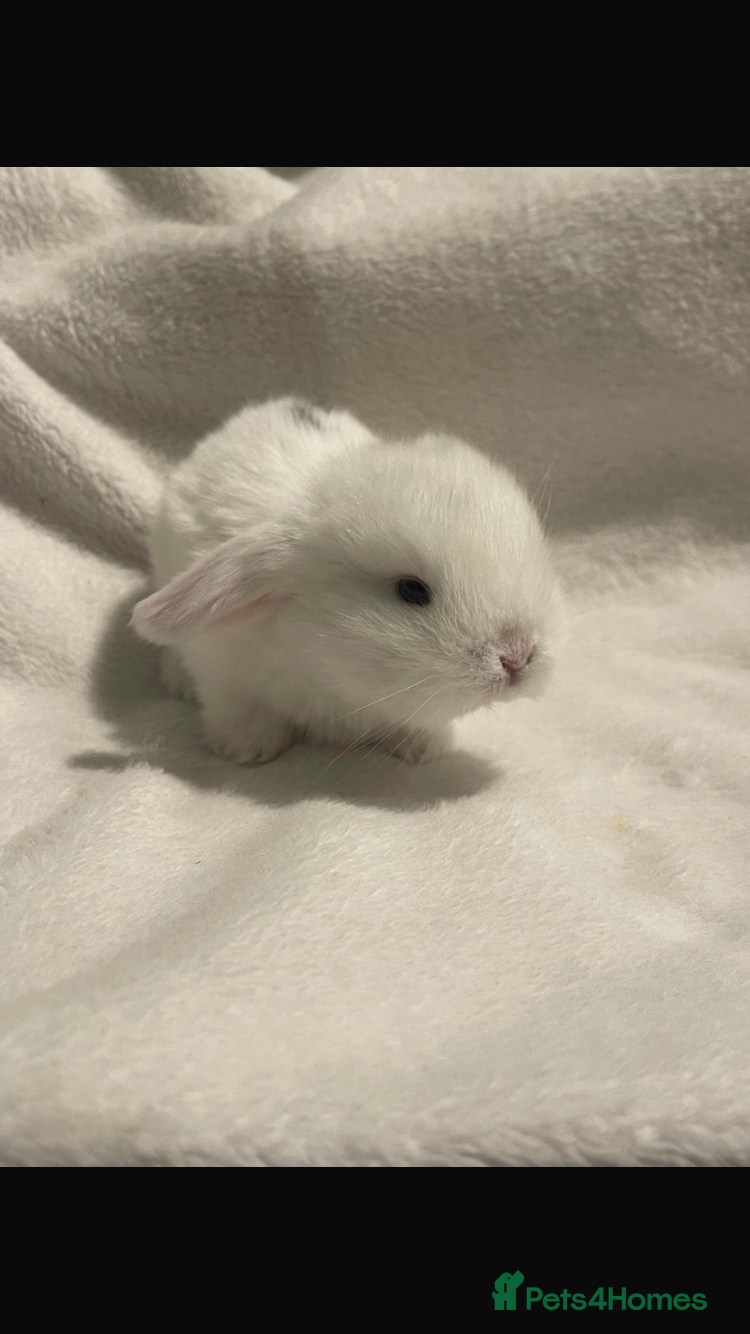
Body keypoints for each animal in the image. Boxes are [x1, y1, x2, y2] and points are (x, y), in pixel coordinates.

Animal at [132, 398, 561, 766]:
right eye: (411, 589)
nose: (518, 655)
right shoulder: (221, 669)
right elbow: (237, 706)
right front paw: (246, 749)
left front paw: (425, 749)